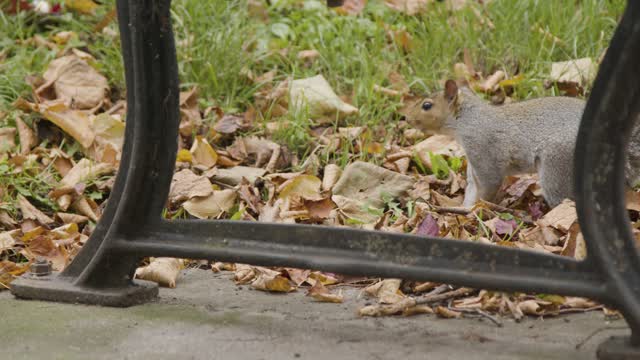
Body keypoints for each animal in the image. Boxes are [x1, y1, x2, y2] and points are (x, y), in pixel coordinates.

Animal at [408, 80, 636, 207]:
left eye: (427, 105)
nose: (406, 117)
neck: (468, 120)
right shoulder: (473, 164)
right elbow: (472, 189)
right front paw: (464, 209)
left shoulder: (483, 149)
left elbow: (489, 184)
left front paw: (479, 209)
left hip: (557, 165)